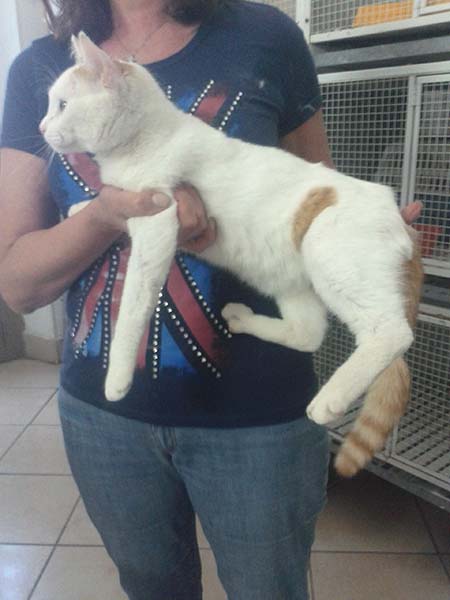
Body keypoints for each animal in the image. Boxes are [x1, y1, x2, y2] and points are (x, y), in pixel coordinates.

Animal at [41, 32, 423, 477]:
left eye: (62, 105)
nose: (42, 126)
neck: (145, 137)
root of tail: (400, 218)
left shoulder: (158, 222)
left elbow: (134, 307)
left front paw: (117, 378)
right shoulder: (135, 211)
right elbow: (107, 205)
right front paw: (82, 209)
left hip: (335, 260)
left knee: (390, 333)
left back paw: (329, 400)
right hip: (292, 283)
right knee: (308, 334)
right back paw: (242, 319)